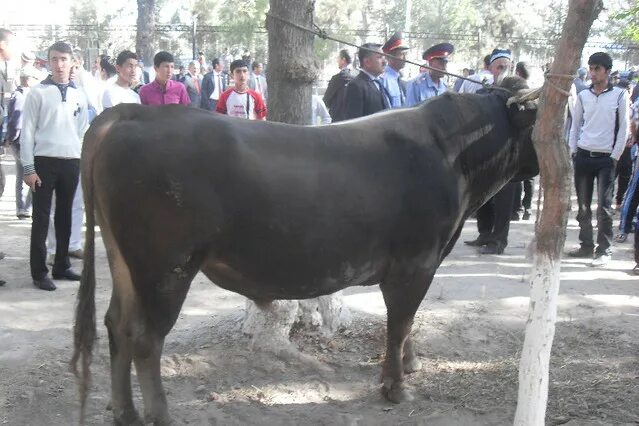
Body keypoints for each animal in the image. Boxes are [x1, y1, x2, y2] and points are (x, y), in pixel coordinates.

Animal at [71, 75, 540, 422]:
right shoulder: (415, 262)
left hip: (126, 264)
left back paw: (125, 412)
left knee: (117, 325)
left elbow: (406, 324)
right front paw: (396, 386)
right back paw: (159, 415)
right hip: (166, 267)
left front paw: (410, 365)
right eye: (540, 116)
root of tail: (132, 113)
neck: (452, 153)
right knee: (145, 337)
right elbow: (400, 322)